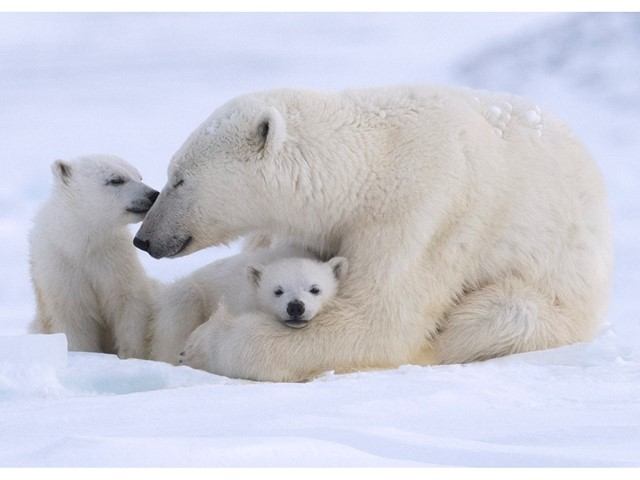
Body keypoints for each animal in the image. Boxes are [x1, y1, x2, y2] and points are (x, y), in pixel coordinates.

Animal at [30, 154, 159, 358]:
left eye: (139, 176)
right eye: (116, 180)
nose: (153, 194)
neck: (83, 243)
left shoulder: (114, 259)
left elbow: (129, 304)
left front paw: (131, 355)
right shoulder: (59, 266)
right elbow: (73, 318)